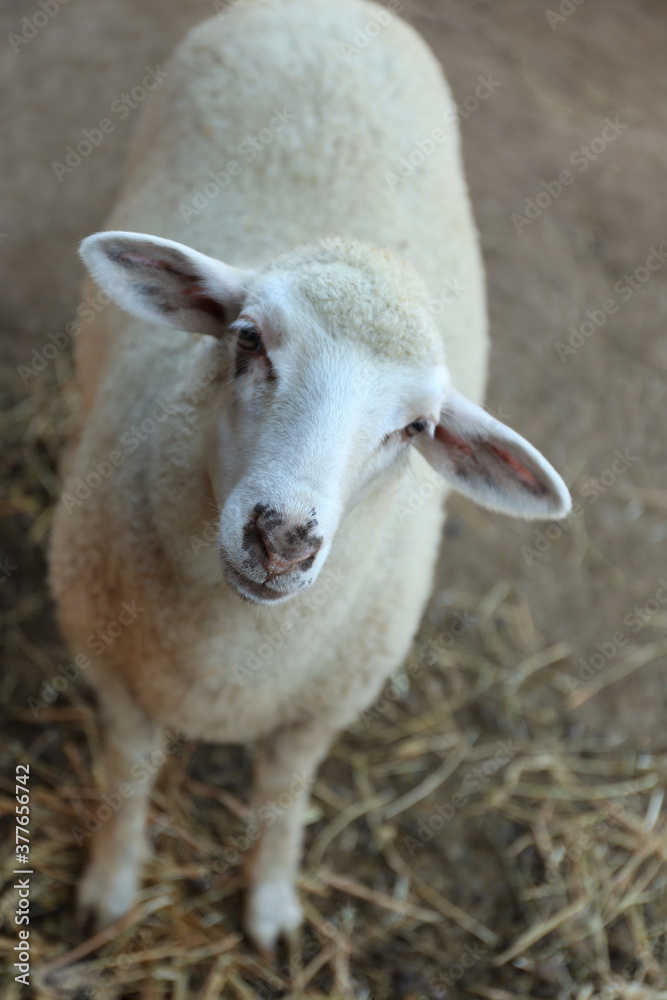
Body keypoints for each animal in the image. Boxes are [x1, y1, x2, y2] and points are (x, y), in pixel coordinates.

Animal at [48, 0, 571, 953]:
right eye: (247, 338)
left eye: (414, 429)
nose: (283, 537)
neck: (231, 659)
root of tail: (331, 7)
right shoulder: (110, 670)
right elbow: (127, 779)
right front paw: (110, 885)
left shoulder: (323, 705)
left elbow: (284, 799)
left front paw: (271, 907)